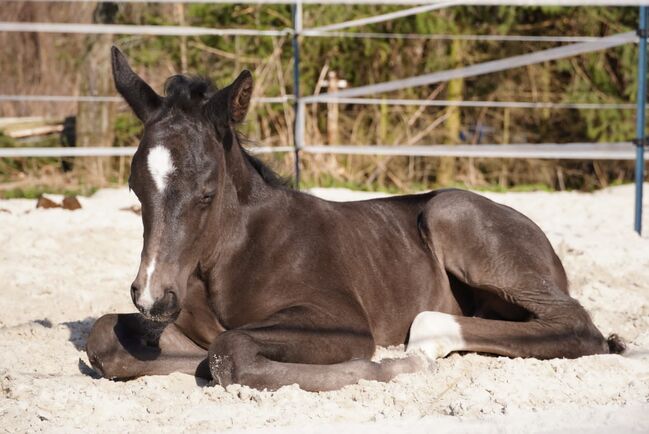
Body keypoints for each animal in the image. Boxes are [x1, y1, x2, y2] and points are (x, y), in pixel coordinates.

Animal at [86, 48, 624, 394]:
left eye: (206, 193)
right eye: (135, 190)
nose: (153, 297)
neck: (233, 253)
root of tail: (537, 234)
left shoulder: (341, 324)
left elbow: (229, 352)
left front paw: (396, 371)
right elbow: (109, 338)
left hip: (452, 214)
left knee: (578, 326)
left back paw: (430, 339)